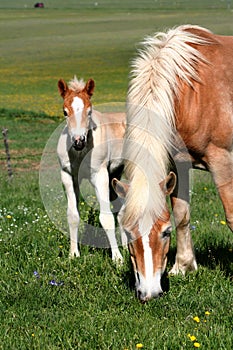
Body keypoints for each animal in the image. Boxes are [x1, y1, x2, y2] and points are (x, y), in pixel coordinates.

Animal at [57, 76, 125, 262]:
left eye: (89, 111)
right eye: (65, 112)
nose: (78, 141)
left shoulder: (99, 175)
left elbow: (106, 217)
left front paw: (117, 259)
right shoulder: (68, 176)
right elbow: (73, 216)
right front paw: (73, 254)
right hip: (115, 177)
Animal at [113, 26, 233, 302]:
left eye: (165, 233)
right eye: (128, 233)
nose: (148, 292)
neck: (190, 93)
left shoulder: (222, 161)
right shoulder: (180, 162)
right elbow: (182, 213)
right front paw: (184, 266)